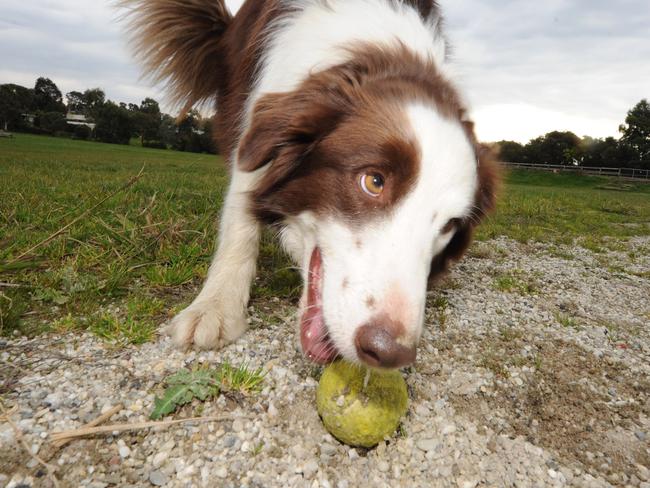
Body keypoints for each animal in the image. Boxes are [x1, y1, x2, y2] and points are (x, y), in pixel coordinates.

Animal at [120, 0, 496, 366]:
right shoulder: (253, 123)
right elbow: (240, 219)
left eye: (450, 226)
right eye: (374, 181)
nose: (389, 352)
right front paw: (215, 306)